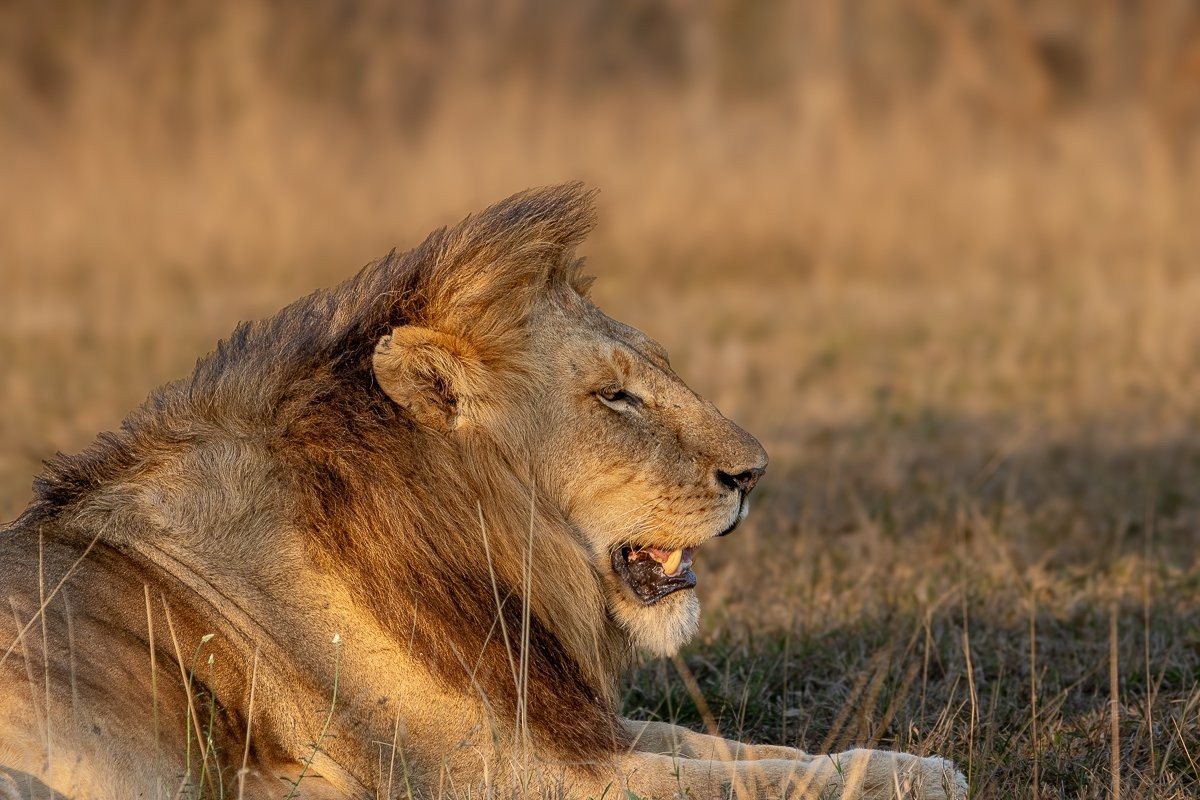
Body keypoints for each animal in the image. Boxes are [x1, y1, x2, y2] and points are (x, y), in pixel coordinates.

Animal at [0, 184, 966, 799]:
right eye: (615, 397)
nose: (754, 472)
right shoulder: (504, 774)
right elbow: (735, 782)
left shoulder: (552, 720)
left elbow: (737, 746)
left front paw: (915, 767)